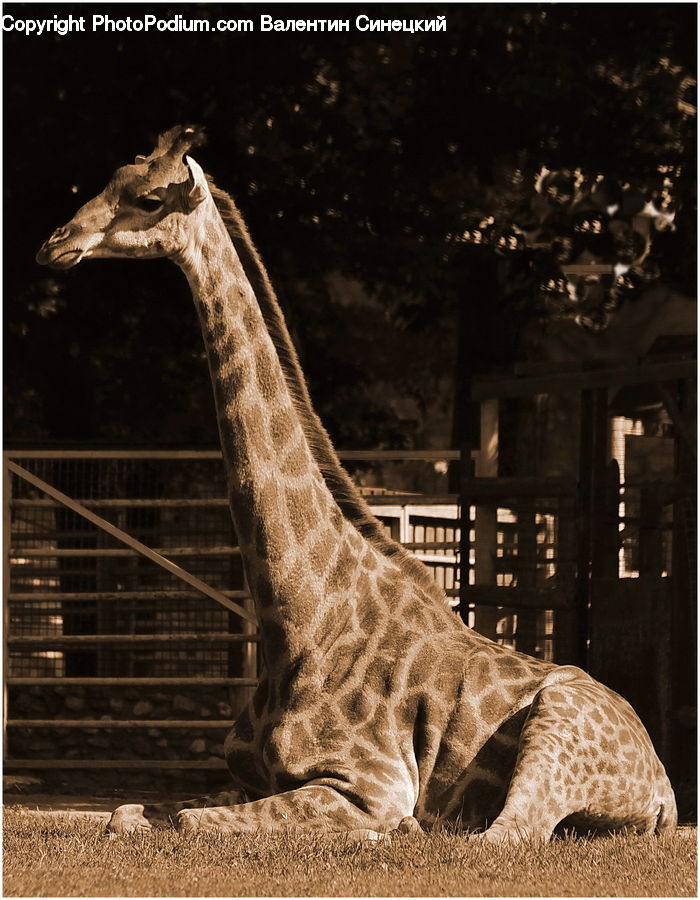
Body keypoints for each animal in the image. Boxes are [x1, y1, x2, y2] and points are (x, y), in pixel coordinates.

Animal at [36, 125, 677, 841]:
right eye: (109, 179)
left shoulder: (369, 782)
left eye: (148, 199)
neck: (297, 617)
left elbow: (191, 822)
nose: (56, 243)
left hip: (552, 729)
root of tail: (663, 789)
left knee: (502, 834)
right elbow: (129, 814)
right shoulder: (248, 776)